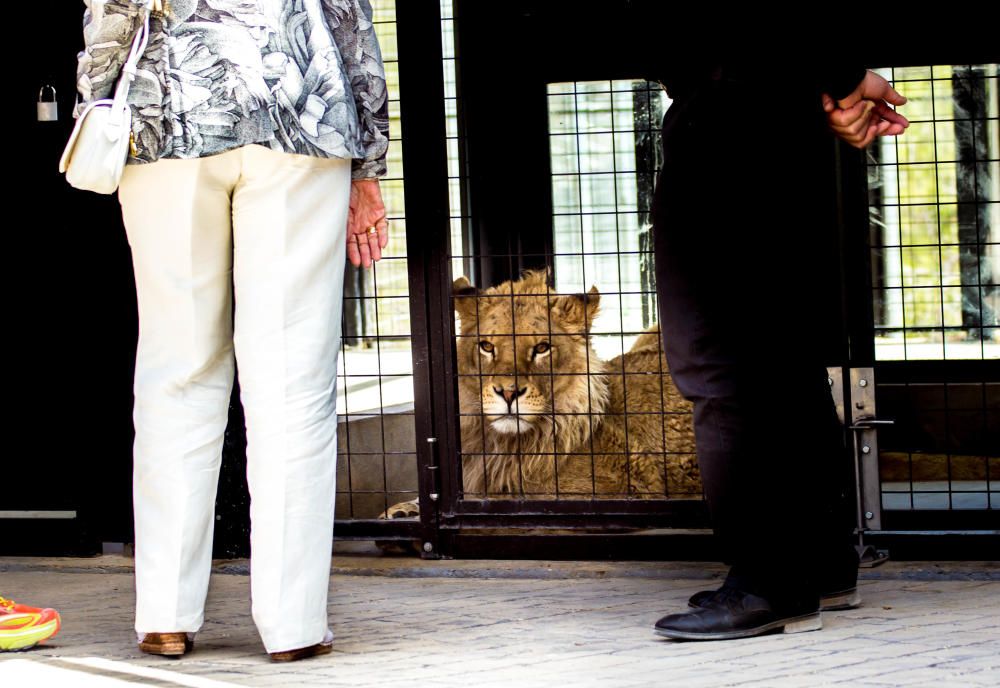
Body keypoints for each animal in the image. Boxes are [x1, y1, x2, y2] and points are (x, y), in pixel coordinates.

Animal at [378, 268, 700, 516]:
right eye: (487, 346)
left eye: (542, 348)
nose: (508, 393)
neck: (500, 444)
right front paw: (404, 510)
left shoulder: (626, 483)